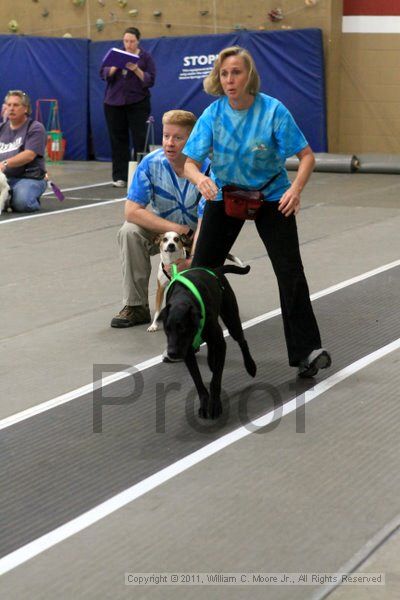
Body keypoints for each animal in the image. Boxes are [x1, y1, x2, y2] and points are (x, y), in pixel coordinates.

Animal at [159, 264, 256, 420]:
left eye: (182, 328)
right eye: (167, 329)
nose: (172, 353)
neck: (183, 297)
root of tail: (216, 270)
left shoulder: (221, 344)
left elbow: (215, 380)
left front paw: (215, 405)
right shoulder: (187, 352)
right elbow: (198, 381)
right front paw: (205, 404)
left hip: (231, 318)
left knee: (242, 341)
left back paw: (250, 366)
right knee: (212, 349)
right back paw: (211, 361)